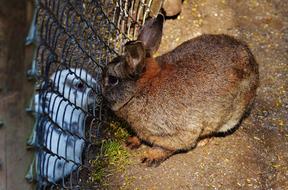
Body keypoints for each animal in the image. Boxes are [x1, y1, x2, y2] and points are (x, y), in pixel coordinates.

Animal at [102, 14, 260, 166]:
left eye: (112, 80)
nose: (101, 94)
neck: (139, 90)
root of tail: (252, 61)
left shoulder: (179, 132)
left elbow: (167, 147)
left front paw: (150, 157)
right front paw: (131, 142)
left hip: (231, 115)